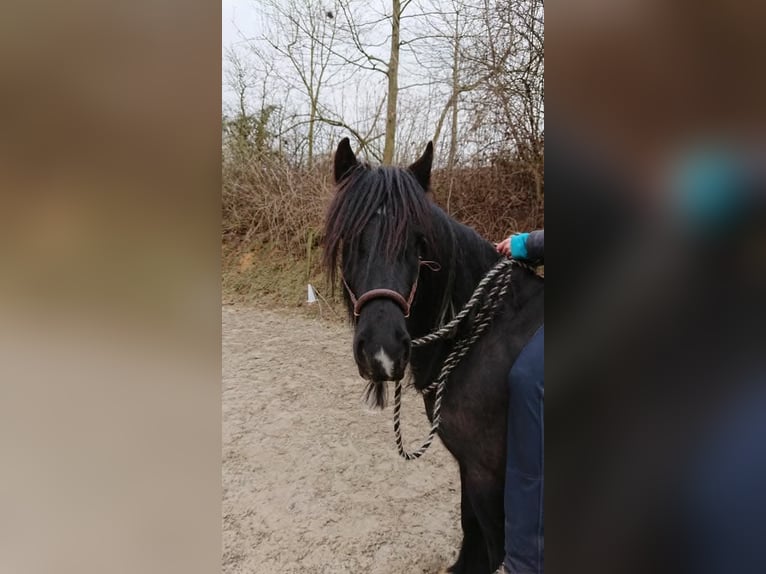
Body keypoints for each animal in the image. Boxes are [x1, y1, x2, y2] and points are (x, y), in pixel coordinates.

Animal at [323, 138, 544, 574]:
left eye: (417, 242)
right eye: (351, 237)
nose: (383, 350)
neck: (485, 334)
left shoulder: (487, 473)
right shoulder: (469, 468)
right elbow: (470, 532)